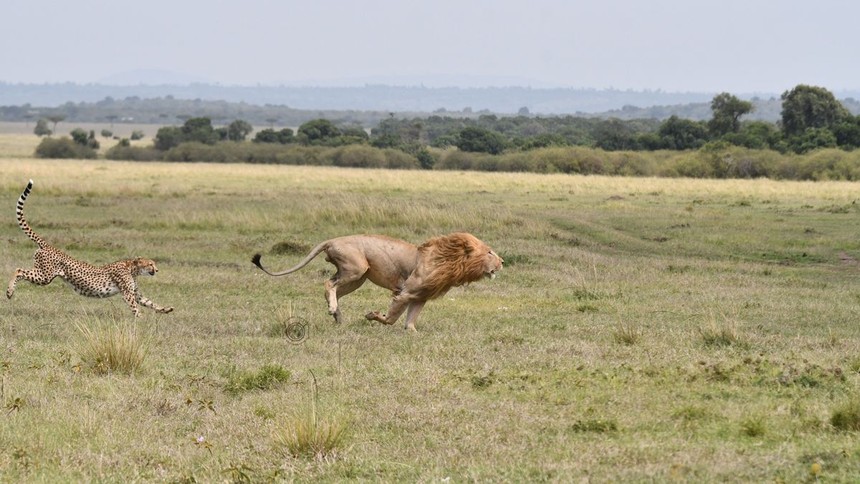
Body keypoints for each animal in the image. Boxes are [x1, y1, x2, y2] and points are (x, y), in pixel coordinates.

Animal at [6, 180, 174, 316]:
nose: (157, 270)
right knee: (19, 270)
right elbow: (135, 308)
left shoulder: (135, 293)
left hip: (43, 275)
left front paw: (165, 309)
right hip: (44, 276)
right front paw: (140, 320)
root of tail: (49, 246)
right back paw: (9, 291)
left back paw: (10, 292)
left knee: (21, 271)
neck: (132, 269)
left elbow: (150, 302)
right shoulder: (127, 294)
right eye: (151, 264)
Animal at [252, 233, 500, 330]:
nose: (503, 262)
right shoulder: (407, 291)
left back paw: (337, 316)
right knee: (328, 285)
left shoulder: (420, 297)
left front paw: (413, 333)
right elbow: (391, 318)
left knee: (332, 287)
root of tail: (332, 240)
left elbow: (410, 321)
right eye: (490, 252)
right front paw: (372, 315)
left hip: (357, 277)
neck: (451, 261)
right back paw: (333, 310)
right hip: (357, 269)